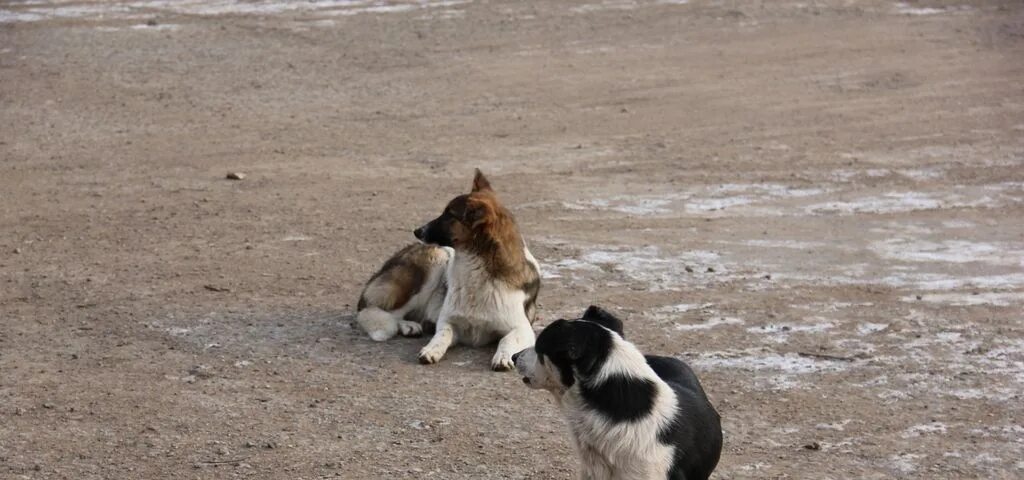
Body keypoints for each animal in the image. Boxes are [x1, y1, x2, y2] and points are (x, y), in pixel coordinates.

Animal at [354, 168, 540, 370]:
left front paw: (503, 357)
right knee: (376, 312)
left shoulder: (522, 328)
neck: (475, 268)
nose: (417, 231)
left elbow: (506, 340)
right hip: (437, 260)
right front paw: (430, 350)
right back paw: (407, 325)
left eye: (450, 215)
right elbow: (442, 335)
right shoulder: (448, 321)